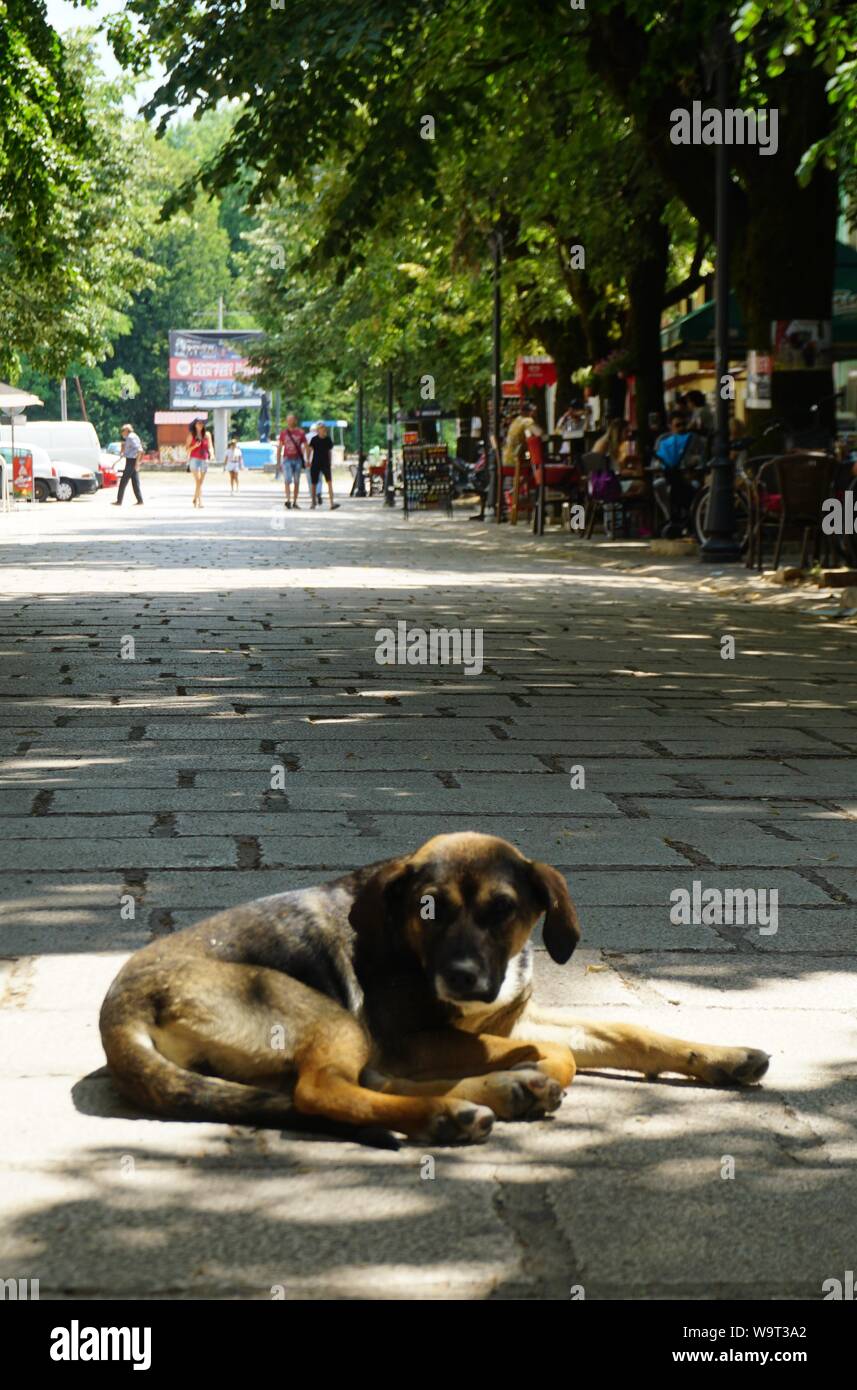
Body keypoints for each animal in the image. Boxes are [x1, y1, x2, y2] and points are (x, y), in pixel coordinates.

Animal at [100, 828, 766, 1145]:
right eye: (428, 910)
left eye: (502, 910)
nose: (462, 978)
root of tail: (119, 1011)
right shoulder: (418, 1038)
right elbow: (562, 1054)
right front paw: (539, 1071)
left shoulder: (511, 1020)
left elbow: (627, 1030)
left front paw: (723, 1055)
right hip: (324, 1016)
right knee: (322, 1092)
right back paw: (455, 1111)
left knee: (362, 1083)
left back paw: (493, 1095)